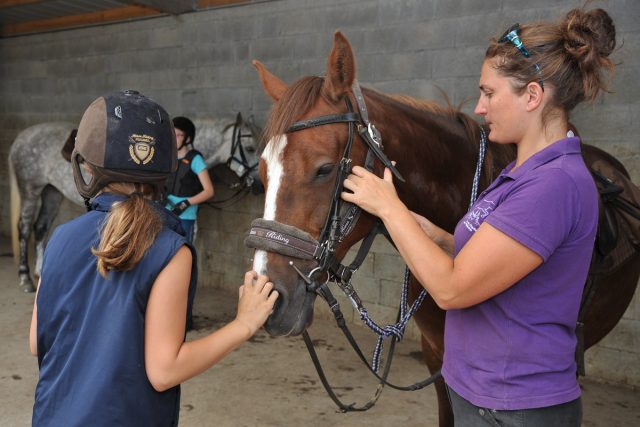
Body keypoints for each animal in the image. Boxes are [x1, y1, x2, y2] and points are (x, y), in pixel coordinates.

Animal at [9, 115, 260, 292]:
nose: (258, 183)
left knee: (40, 227)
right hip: (31, 190)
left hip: (52, 192)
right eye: (249, 149)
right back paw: (25, 277)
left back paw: (40, 272)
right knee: (24, 228)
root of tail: (21, 139)